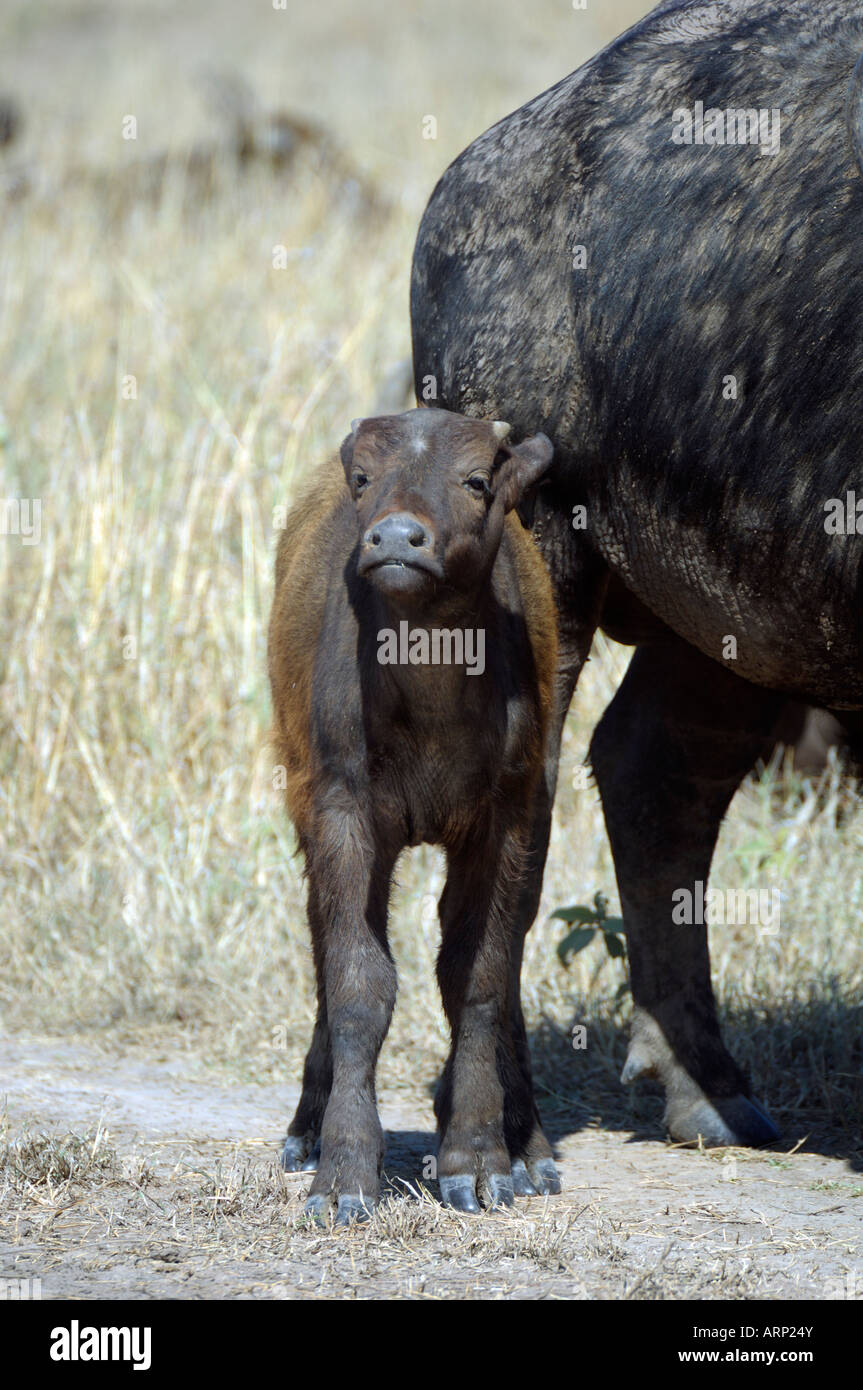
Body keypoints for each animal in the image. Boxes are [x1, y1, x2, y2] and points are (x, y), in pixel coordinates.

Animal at [269, 405, 558, 1223]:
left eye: (475, 480)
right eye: (365, 476)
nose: (396, 538)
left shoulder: (509, 820)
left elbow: (479, 977)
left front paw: (482, 1160)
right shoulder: (342, 813)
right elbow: (357, 981)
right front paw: (344, 1172)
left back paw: (528, 1144)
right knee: (320, 945)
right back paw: (306, 1127)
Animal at [408, 0, 861, 1145]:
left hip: (747, 608)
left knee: (653, 767)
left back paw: (705, 1082)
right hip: (547, 571)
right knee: (518, 827)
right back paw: (492, 1113)